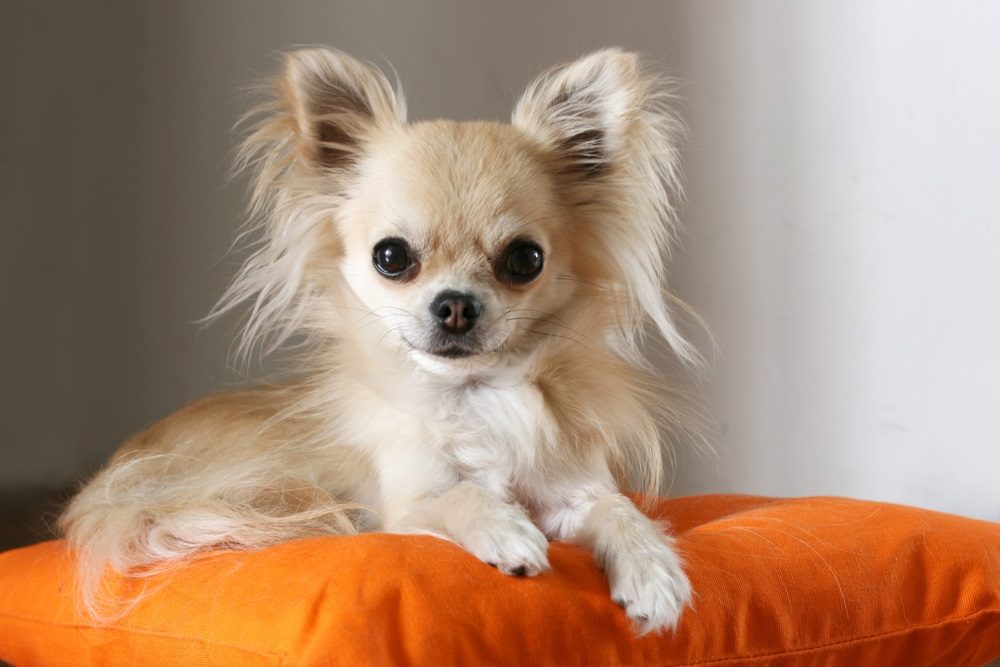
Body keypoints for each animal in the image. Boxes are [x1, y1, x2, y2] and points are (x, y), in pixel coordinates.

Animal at [60, 48, 704, 636]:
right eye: (391, 257)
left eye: (525, 260)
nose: (456, 305)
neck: (474, 395)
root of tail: (106, 484)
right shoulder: (409, 502)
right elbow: (462, 497)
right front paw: (505, 530)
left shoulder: (573, 495)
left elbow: (620, 509)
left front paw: (653, 569)